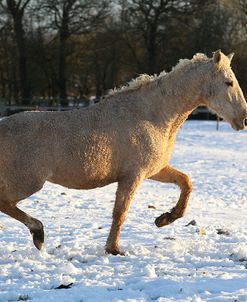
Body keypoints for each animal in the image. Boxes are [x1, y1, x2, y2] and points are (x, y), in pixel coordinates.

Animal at [0, 50, 246, 255]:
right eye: (229, 82)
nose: (243, 119)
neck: (152, 116)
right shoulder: (132, 176)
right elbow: (120, 212)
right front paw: (114, 249)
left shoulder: (155, 171)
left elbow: (186, 183)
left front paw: (164, 219)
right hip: (27, 182)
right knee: (5, 203)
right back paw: (38, 233)